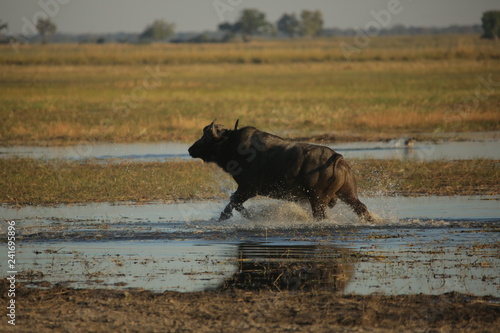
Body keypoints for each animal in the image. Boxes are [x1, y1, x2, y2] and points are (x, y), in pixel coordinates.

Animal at [189, 120, 374, 222]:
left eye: (206, 137)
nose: (191, 149)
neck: (233, 146)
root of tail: (337, 157)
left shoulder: (248, 189)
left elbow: (233, 203)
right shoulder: (246, 190)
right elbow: (234, 203)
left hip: (317, 200)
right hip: (348, 195)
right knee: (362, 209)